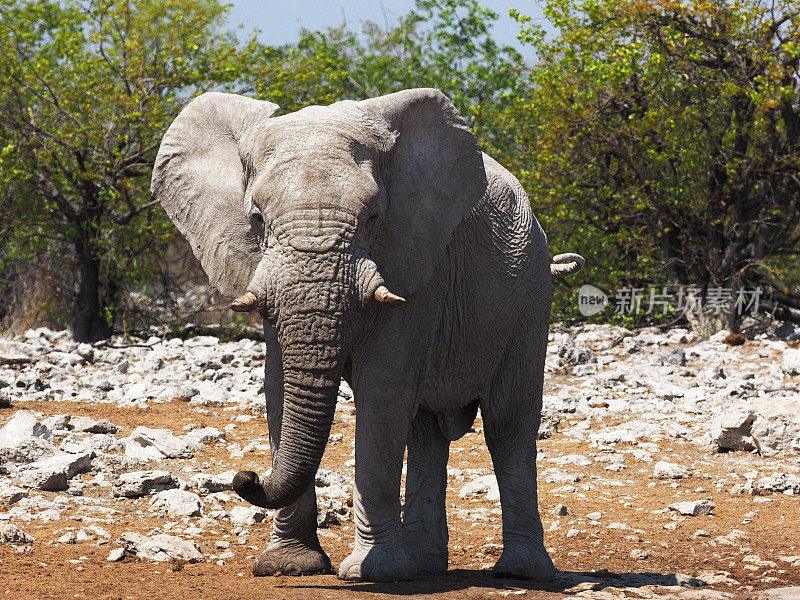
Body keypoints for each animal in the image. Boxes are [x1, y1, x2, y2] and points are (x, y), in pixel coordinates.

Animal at [153, 89, 584, 580]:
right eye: (257, 219)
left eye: (373, 217)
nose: (246, 476)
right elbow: (279, 388)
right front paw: (290, 567)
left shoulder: (416, 260)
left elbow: (383, 389)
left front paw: (372, 573)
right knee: (424, 430)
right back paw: (424, 566)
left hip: (530, 293)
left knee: (507, 422)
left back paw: (520, 572)